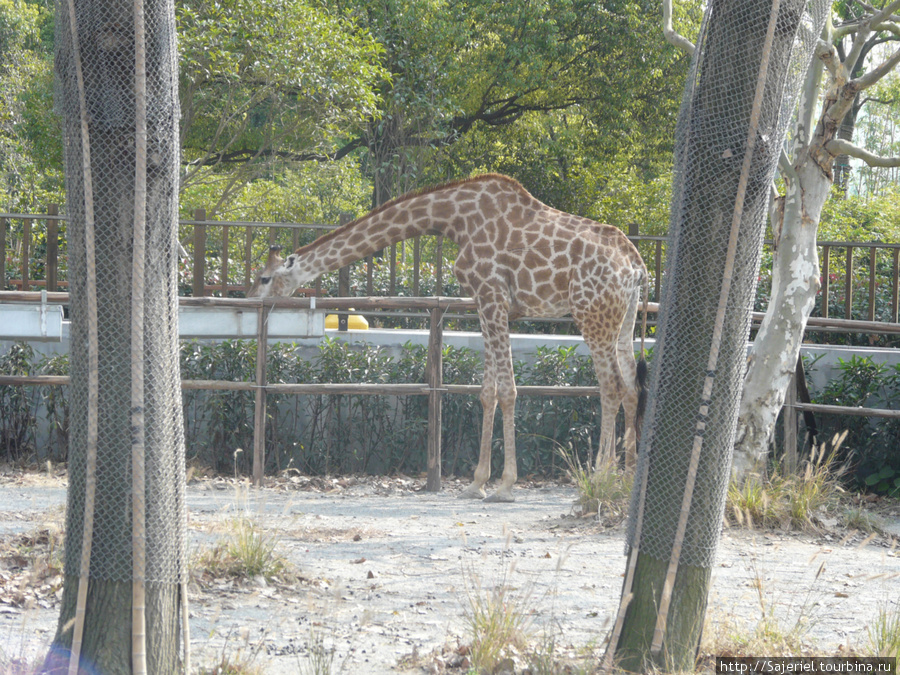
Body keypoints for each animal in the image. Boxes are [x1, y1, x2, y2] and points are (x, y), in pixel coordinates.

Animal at [250, 174, 652, 502]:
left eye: (263, 278)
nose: (254, 302)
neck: (454, 219)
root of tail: (637, 266)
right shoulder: (485, 304)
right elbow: (487, 392)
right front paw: (477, 483)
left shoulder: (492, 295)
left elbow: (508, 390)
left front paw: (506, 486)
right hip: (623, 320)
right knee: (632, 387)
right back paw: (627, 477)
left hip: (591, 314)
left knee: (610, 387)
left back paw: (599, 477)